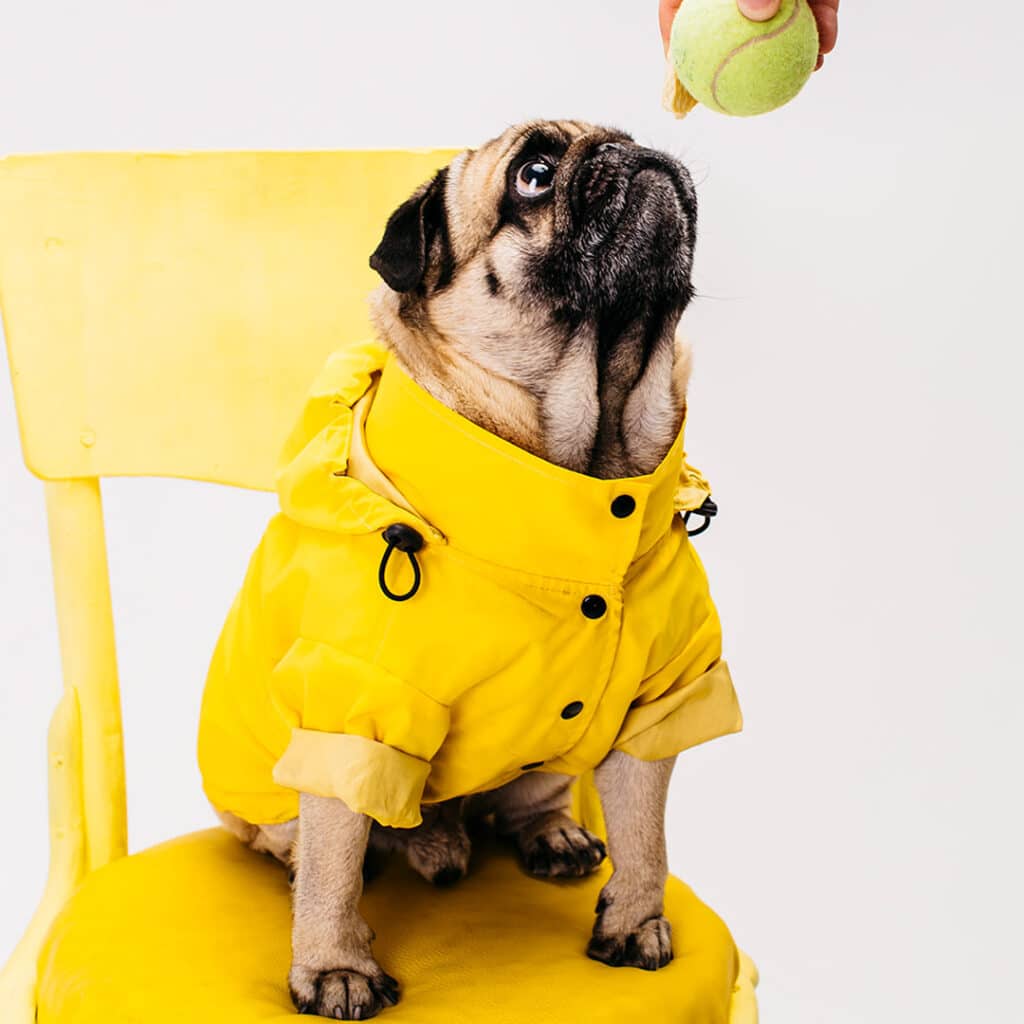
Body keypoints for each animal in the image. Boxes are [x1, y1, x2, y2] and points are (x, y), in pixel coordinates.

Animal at [219, 119, 704, 1015]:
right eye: (535, 173)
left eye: (625, 133)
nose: (632, 151)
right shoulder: (350, 708)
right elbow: (336, 860)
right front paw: (333, 966)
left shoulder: (656, 702)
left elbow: (644, 834)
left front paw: (634, 923)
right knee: (308, 839)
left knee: (530, 798)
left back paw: (551, 834)